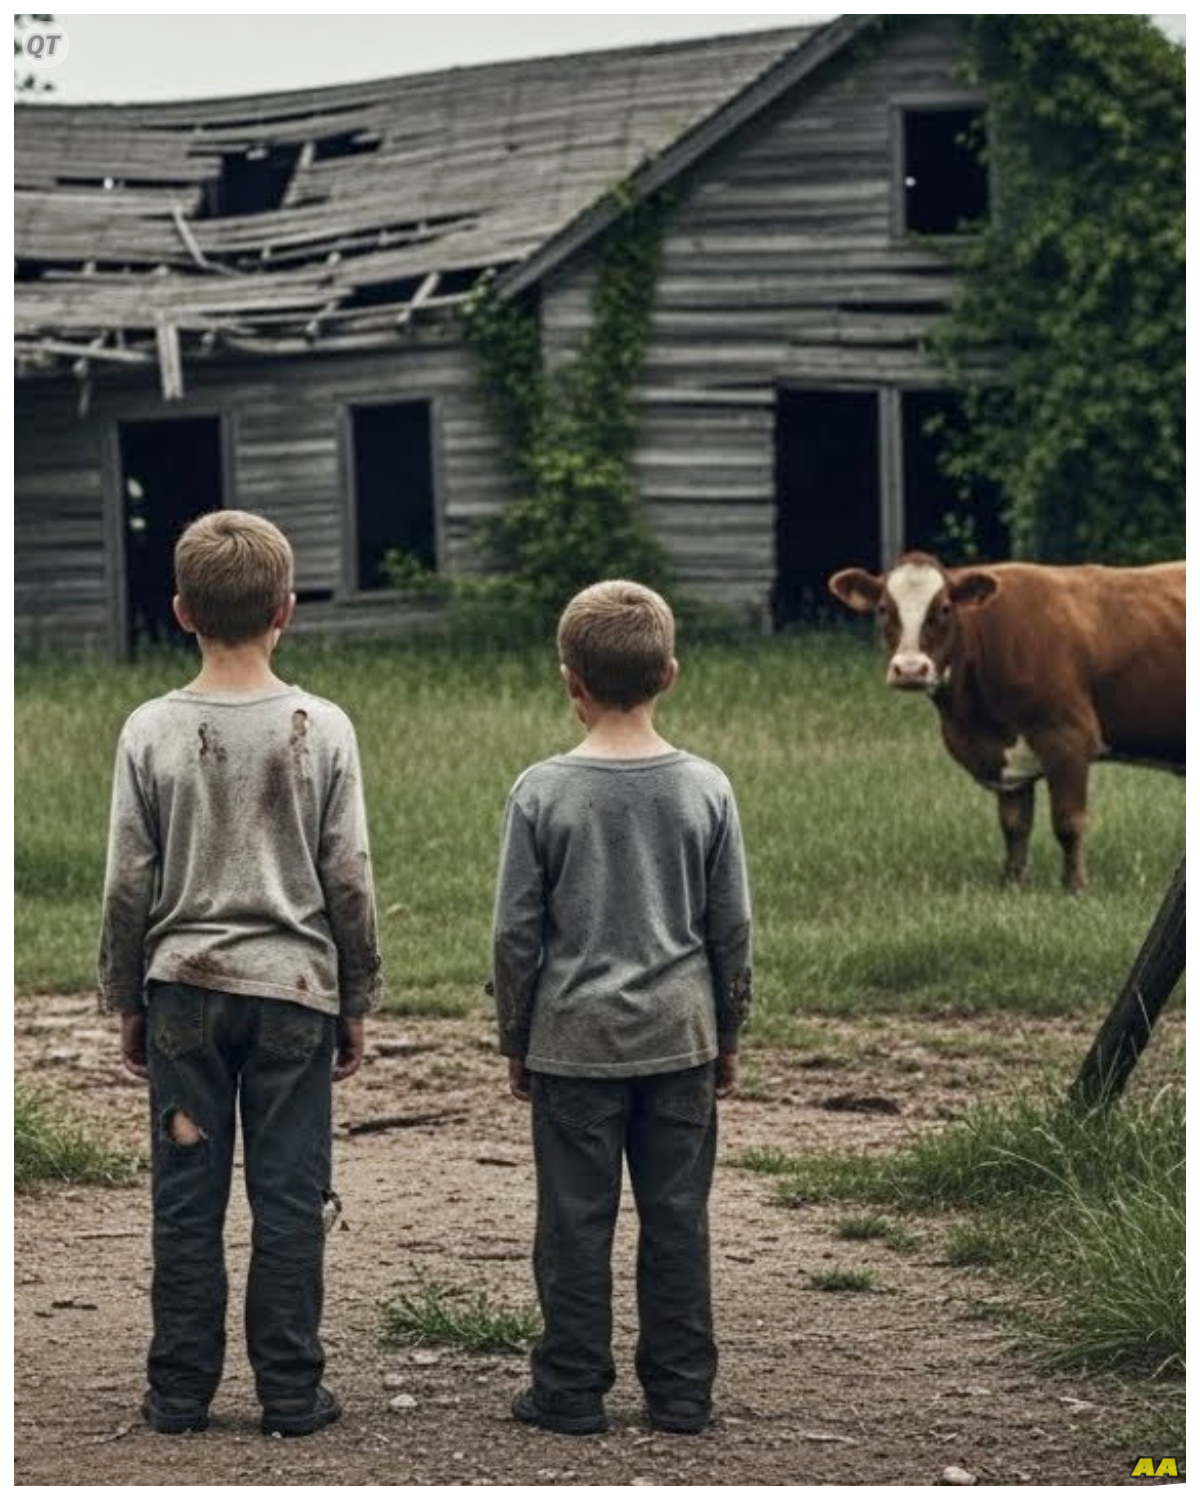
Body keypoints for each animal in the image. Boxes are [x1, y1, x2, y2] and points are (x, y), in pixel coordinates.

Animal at [828, 552, 1185, 891]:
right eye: (883, 609)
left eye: (944, 608)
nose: (911, 669)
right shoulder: (1005, 758)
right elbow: (1014, 825)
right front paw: (1012, 882)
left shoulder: (1068, 737)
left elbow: (1068, 822)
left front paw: (1075, 886)